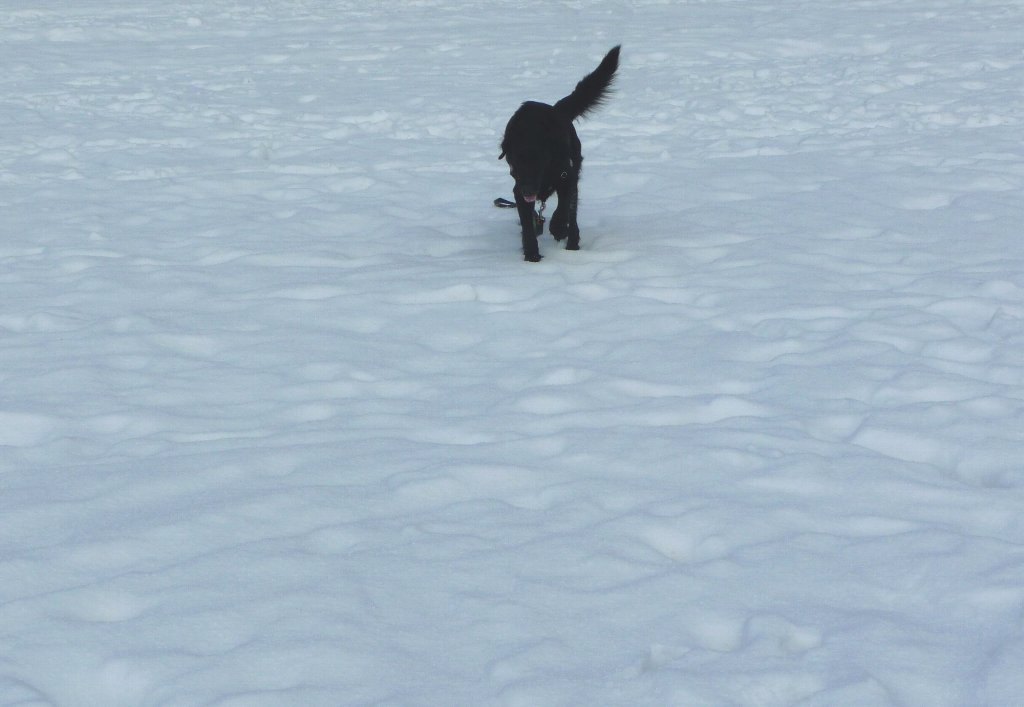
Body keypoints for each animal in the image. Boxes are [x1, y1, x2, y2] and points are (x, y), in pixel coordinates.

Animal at [499, 45, 620, 261]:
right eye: (515, 164)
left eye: (538, 162)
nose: (528, 190)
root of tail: (557, 109)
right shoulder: (518, 189)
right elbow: (527, 224)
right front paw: (532, 255)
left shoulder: (566, 176)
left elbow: (564, 206)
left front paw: (558, 227)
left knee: (572, 214)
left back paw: (572, 242)